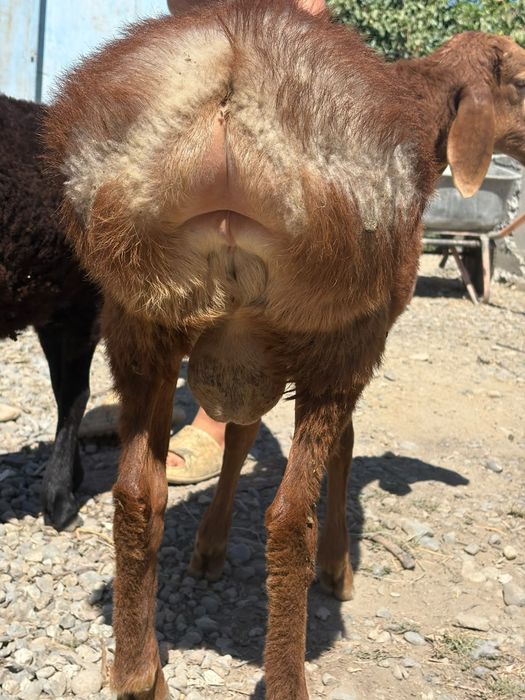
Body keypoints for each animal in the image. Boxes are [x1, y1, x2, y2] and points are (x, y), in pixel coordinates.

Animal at [43, 1, 525, 698]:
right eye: (523, 79)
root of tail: (230, 63)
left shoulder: (249, 348)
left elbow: (241, 436)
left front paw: (210, 549)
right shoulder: (355, 333)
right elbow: (342, 449)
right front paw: (338, 566)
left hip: (138, 316)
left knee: (136, 495)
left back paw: (140, 673)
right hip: (338, 331)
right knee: (287, 518)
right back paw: (289, 673)